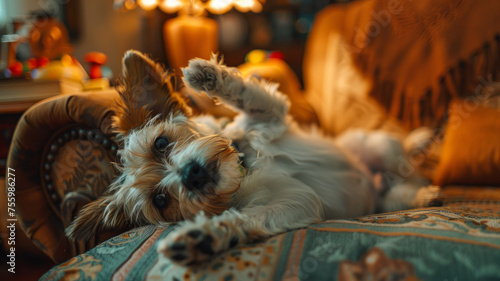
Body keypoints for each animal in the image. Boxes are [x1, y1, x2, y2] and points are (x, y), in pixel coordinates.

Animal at [64, 49, 428, 264]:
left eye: (161, 142)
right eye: (161, 200)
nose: (191, 175)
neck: (244, 166)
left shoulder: (270, 116)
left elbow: (246, 93)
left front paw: (205, 74)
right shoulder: (298, 203)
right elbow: (248, 219)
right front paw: (204, 238)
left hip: (377, 147)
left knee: (407, 167)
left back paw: (423, 173)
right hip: (379, 188)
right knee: (394, 193)